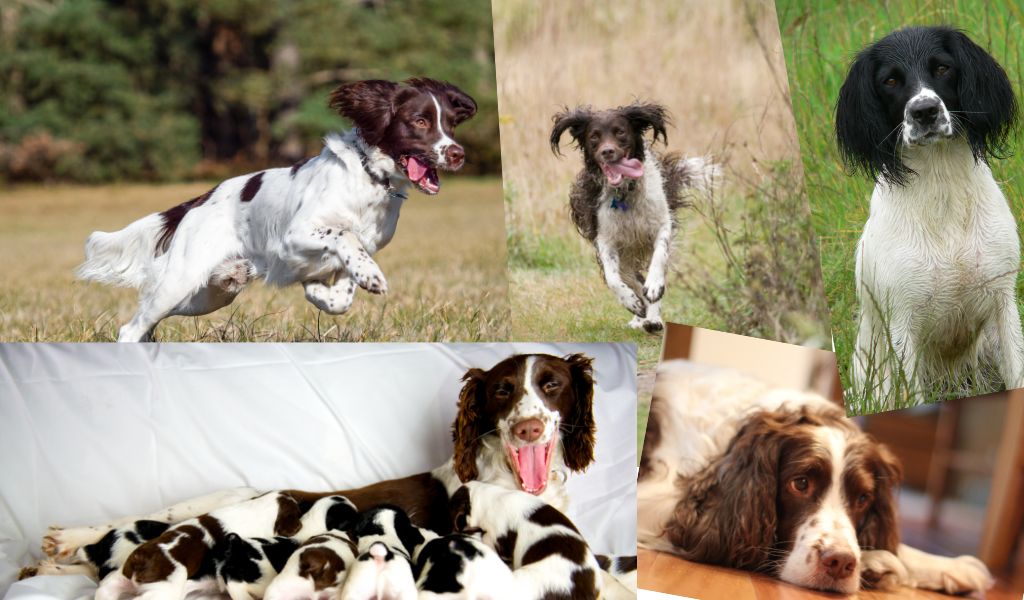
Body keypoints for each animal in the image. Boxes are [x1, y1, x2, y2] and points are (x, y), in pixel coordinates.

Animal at [77, 78, 477, 341]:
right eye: (420, 121)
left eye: (450, 124)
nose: (458, 154)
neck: (368, 180)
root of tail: (199, 201)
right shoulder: (295, 236)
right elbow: (344, 235)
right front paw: (368, 277)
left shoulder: (362, 248)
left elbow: (344, 289)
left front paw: (321, 292)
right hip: (180, 282)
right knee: (131, 327)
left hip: (209, 294)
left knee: (146, 322)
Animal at [552, 104, 720, 333]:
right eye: (594, 136)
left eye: (620, 132)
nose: (607, 151)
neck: (625, 193)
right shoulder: (605, 239)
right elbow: (614, 278)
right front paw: (632, 303)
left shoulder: (662, 225)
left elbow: (659, 259)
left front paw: (655, 288)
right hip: (626, 258)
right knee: (632, 280)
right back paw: (640, 315)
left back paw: (653, 319)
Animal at [835, 25, 1019, 399]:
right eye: (890, 80)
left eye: (942, 68)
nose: (925, 111)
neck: (941, 191)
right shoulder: (902, 325)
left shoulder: (1002, 301)